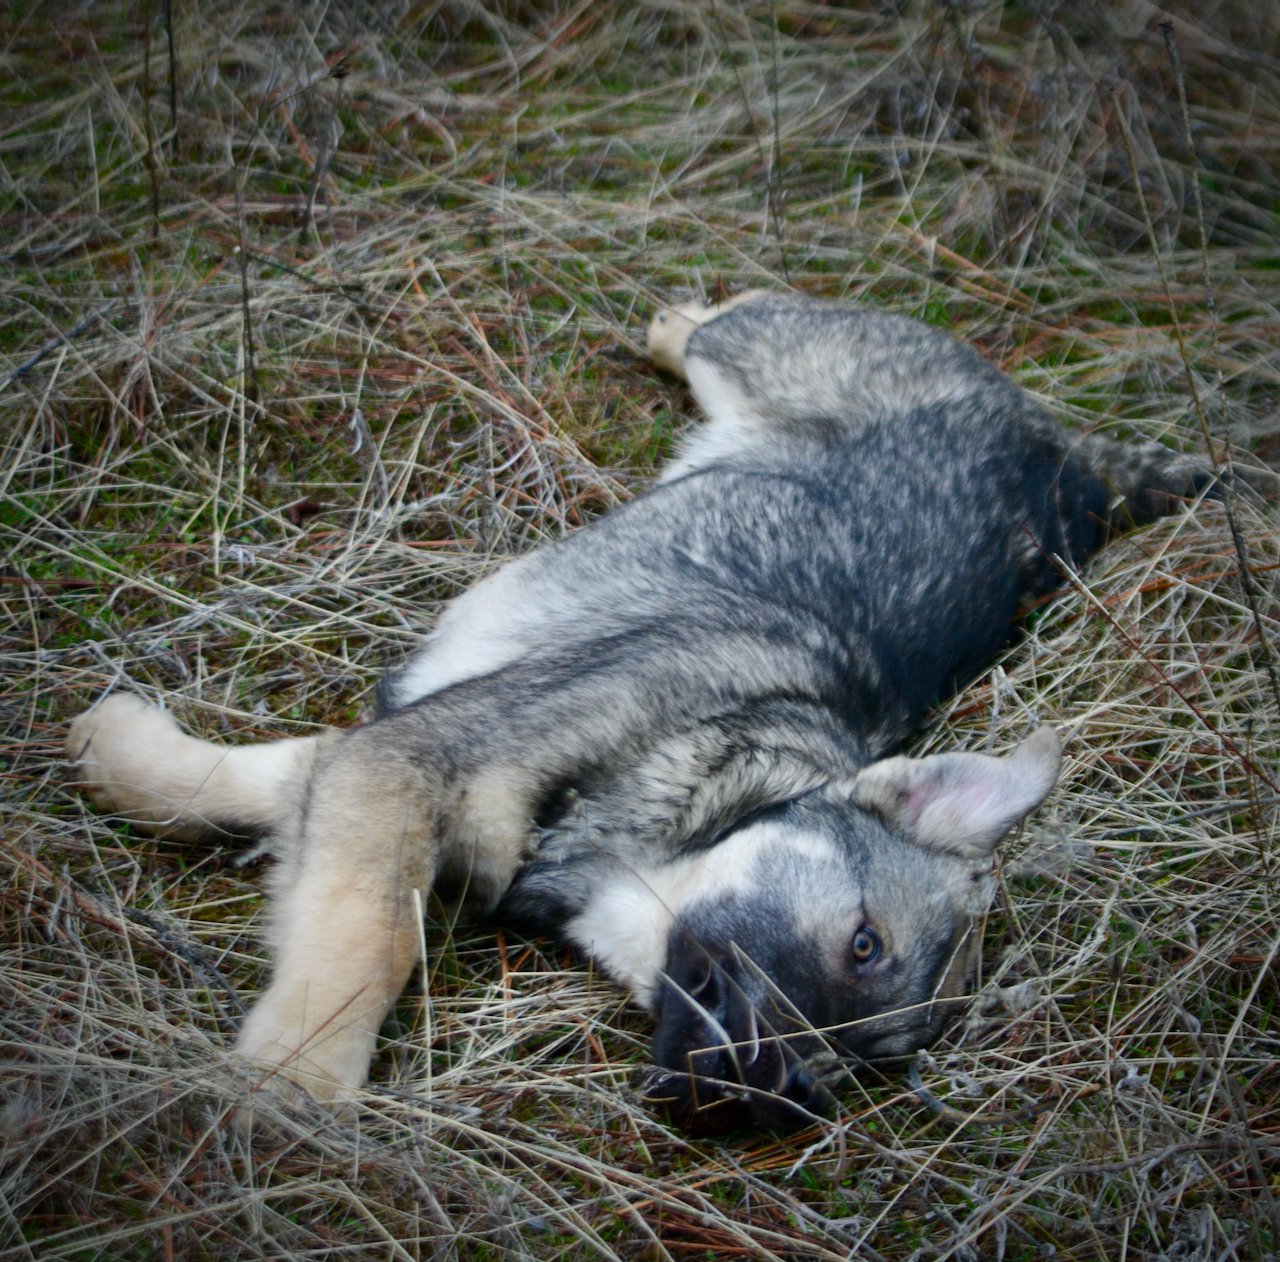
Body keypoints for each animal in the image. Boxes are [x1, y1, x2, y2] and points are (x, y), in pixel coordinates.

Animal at [62, 290, 1218, 1126]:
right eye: (862, 945)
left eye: (866, 1059)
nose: (765, 1104)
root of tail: (1073, 461)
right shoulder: (409, 761)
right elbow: (371, 935)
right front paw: (295, 1093)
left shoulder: (377, 758)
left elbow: (252, 785)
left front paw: (116, 753)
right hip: (756, 349)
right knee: (727, 313)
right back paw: (673, 320)